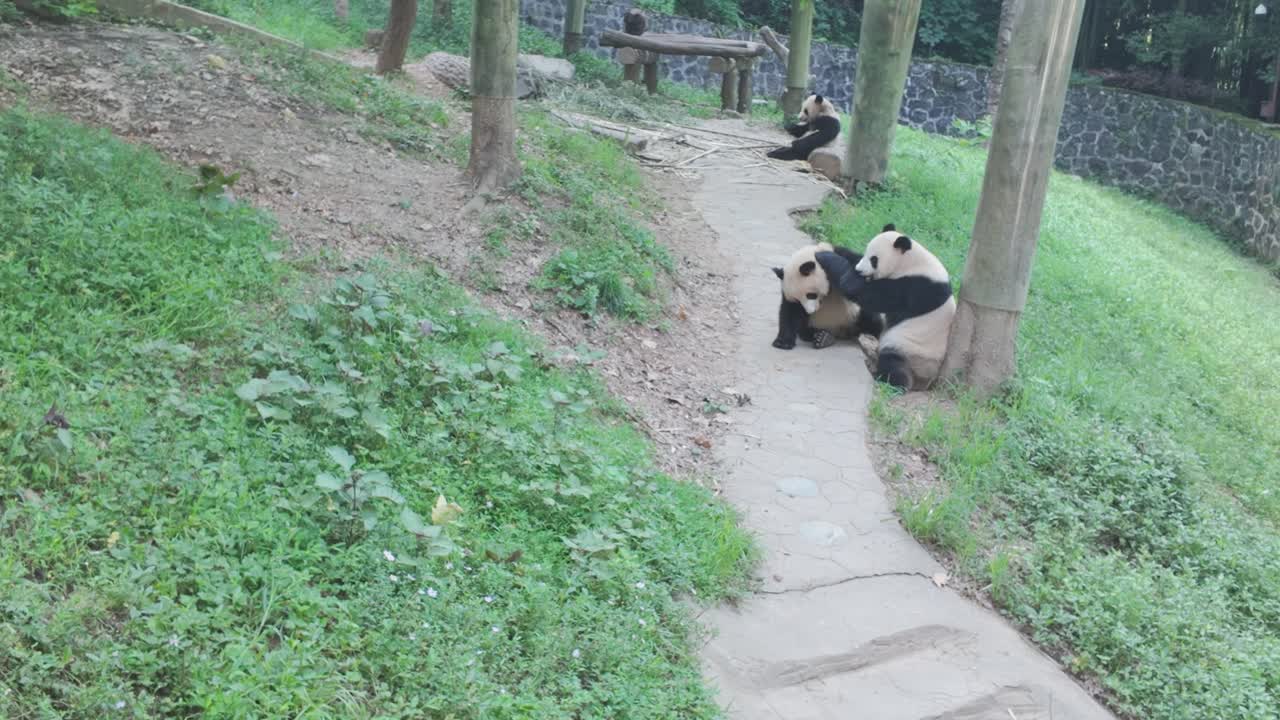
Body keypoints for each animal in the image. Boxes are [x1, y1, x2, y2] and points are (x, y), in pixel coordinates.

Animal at [812, 225, 956, 391]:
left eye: (874, 259)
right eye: (866, 252)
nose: (859, 270)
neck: (911, 262)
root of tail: (926, 381)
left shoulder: (915, 288)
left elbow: (864, 291)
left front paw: (825, 256)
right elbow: (854, 259)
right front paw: (833, 247)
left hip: (912, 352)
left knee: (893, 361)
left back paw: (890, 380)